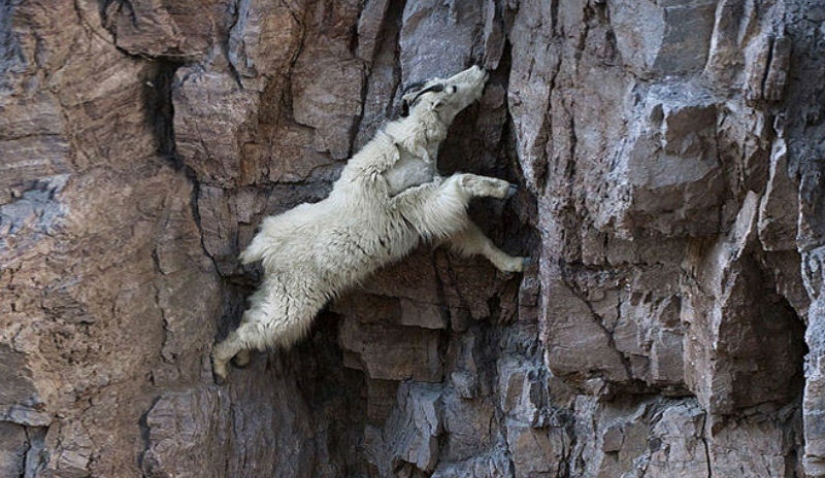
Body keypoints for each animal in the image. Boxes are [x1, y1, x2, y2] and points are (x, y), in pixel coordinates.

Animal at [209, 66, 524, 380]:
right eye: (452, 88)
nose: (481, 70)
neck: (412, 147)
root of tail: (265, 250)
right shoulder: (421, 201)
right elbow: (463, 182)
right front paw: (505, 188)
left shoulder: (434, 213)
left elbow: (474, 237)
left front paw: (515, 262)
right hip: (295, 298)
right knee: (262, 327)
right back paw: (220, 364)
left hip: (277, 289)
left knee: (252, 315)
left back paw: (240, 358)